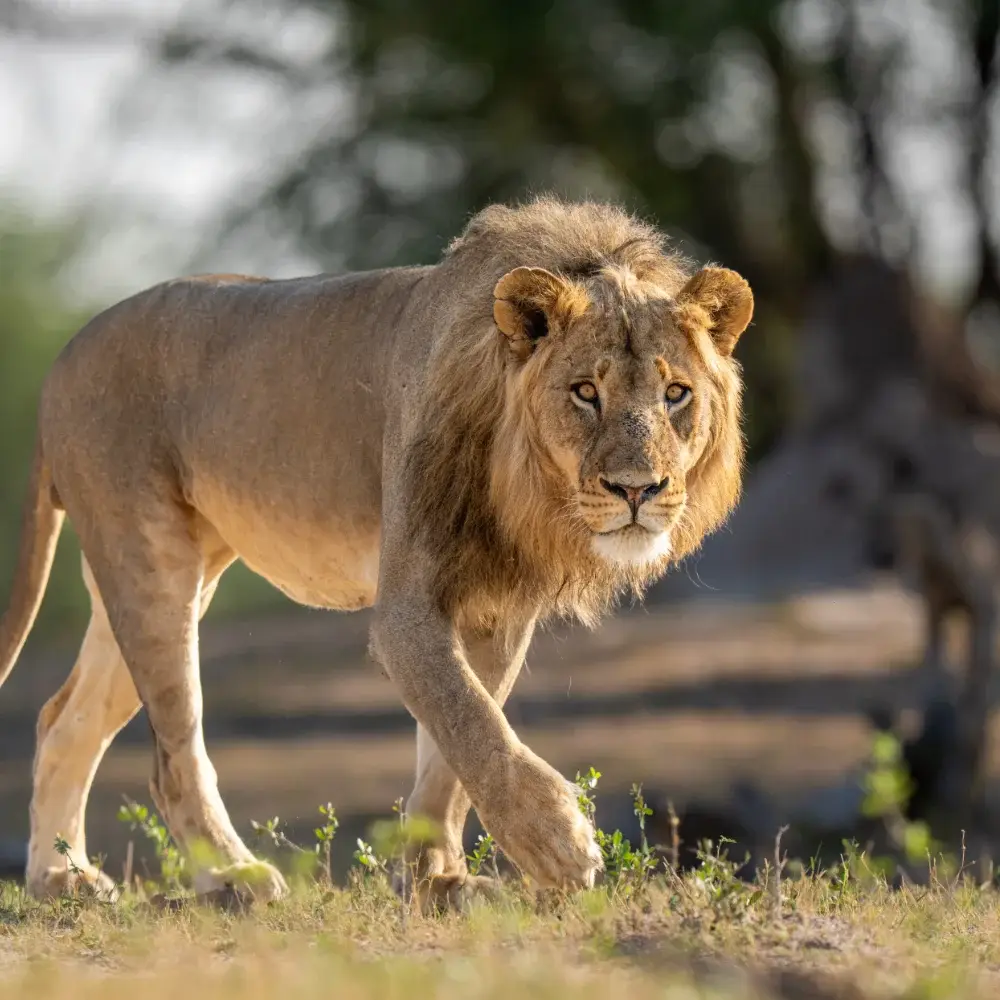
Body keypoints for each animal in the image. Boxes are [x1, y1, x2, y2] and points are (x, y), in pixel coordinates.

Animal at [0, 197, 752, 906]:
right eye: (585, 393)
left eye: (676, 393)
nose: (637, 488)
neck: (518, 475)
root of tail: (64, 356)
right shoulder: (407, 605)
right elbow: (468, 716)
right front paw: (557, 841)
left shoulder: (495, 608)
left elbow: (453, 744)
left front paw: (436, 878)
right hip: (153, 563)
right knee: (171, 751)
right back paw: (232, 875)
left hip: (154, 573)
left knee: (61, 721)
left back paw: (61, 877)